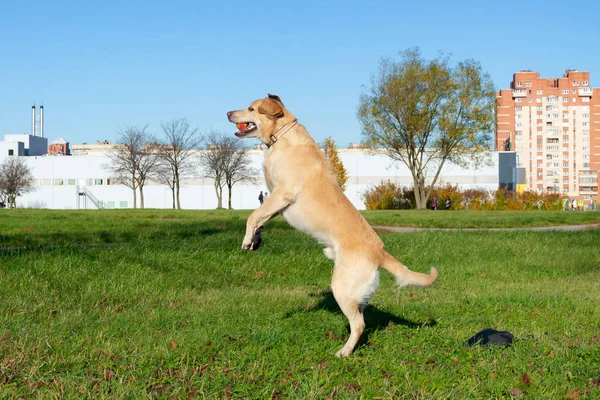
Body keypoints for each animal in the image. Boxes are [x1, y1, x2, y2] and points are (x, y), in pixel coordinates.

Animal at [227, 95, 438, 358]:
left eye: (251, 109)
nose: (228, 113)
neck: (283, 137)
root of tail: (380, 252)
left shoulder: (282, 193)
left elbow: (253, 216)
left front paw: (246, 240)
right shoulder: (275, 202)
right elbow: (261, 219)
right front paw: (255, 240)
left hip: (341, 287)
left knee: (358, 324)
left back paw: (344, 352)